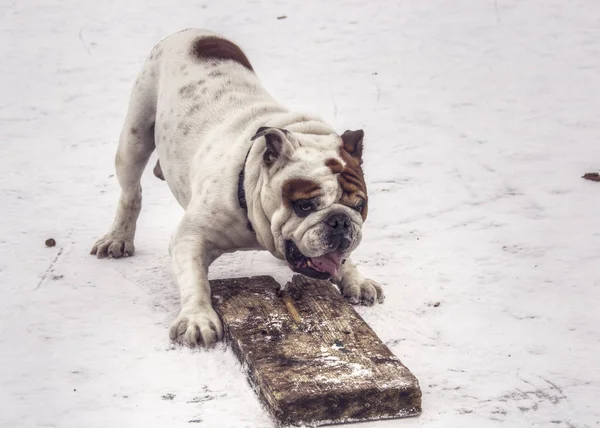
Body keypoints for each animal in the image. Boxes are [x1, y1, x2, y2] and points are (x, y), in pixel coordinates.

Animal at [92, 28, 384, 346]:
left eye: (359, 206)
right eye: (304, 206)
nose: (340, 221)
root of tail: (190, 32)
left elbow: (344, 258)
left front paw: (356, 279)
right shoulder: (190, 237)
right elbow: (195, 279)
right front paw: (197, 319)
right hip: (134, 139)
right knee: (131, 191)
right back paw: (118, 238)